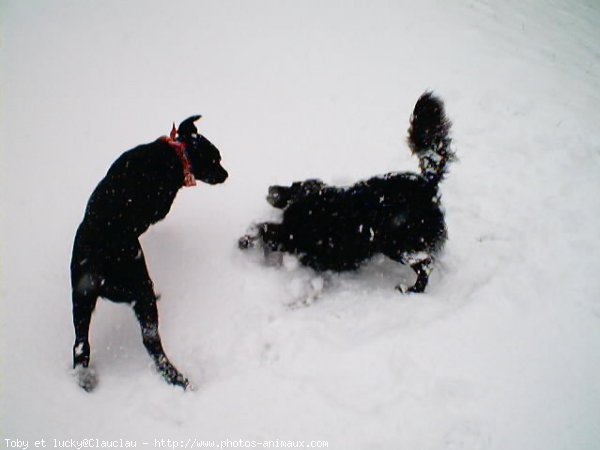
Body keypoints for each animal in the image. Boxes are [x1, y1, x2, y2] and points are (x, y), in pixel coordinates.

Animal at [70, 115, 229, 390]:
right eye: (216, 159)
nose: (227, 174)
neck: (175, 153)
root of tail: (96, 267)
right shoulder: (159, 208)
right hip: (141, 290)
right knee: (152, 342)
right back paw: (178, 378)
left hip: (80, 299)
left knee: (81, 345)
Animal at [239, 93, 454, 294]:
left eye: (291, 185)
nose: (270, 188)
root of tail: (427, 184)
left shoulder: (292, 235)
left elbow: (264, 229)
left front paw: (245, 241)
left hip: (399, 243)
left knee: (425, 263)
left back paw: (411, 289)